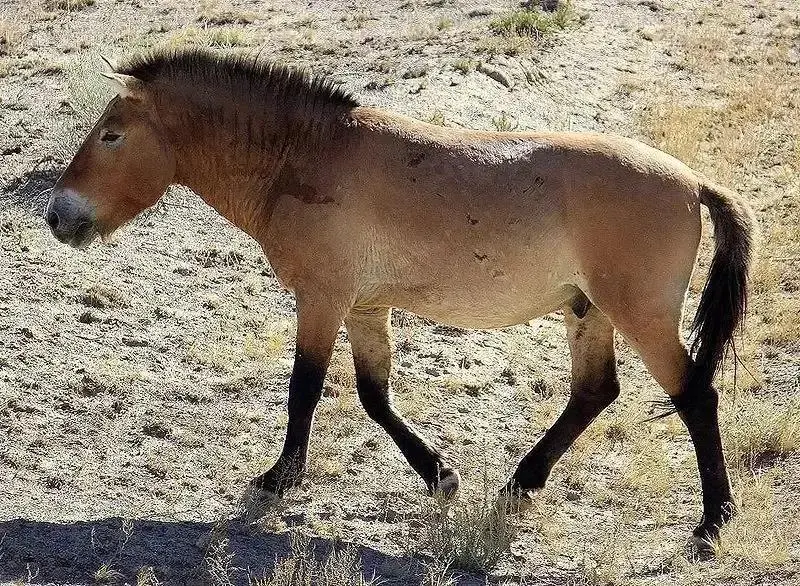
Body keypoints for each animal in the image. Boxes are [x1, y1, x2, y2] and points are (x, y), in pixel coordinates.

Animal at [45, 48, 756, 540]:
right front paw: (441, 475)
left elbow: (305, 388)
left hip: (641, 315)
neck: (305, 157)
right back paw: (520, 484)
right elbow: (373, 396)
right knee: (595, 393)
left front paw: (279, 479)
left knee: (694, 395)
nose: (58, 216)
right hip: (591, 313)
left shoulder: (323, 298)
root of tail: (693, 182)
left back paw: (713, 520)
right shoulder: (363, 306)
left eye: (111, 134)